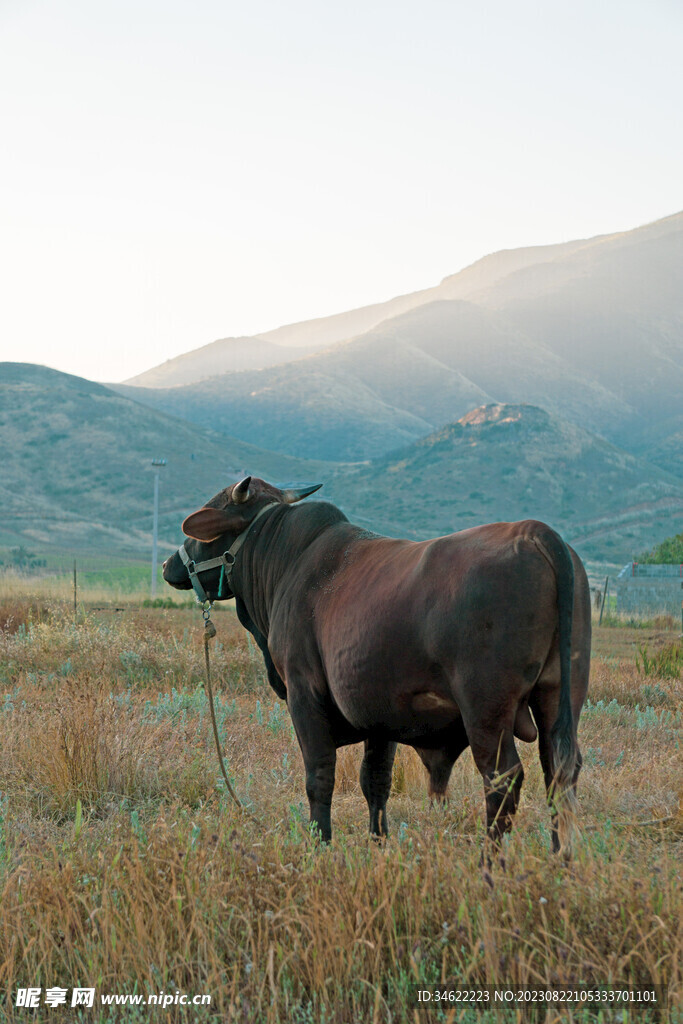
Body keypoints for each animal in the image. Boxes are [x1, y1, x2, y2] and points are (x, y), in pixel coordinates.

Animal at [162, 477, 589, 856]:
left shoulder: (303, 694)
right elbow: (376, 782)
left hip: (486, 710)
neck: (286, 562)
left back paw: (491, 864)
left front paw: (321, 845)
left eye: (205, 528)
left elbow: (320, 777)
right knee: (559, 772)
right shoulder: (378, 714)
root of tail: (535, 532)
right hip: (558, 699)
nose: (168, 565)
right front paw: (378, 843)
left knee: (503, 780)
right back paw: (560, 859)